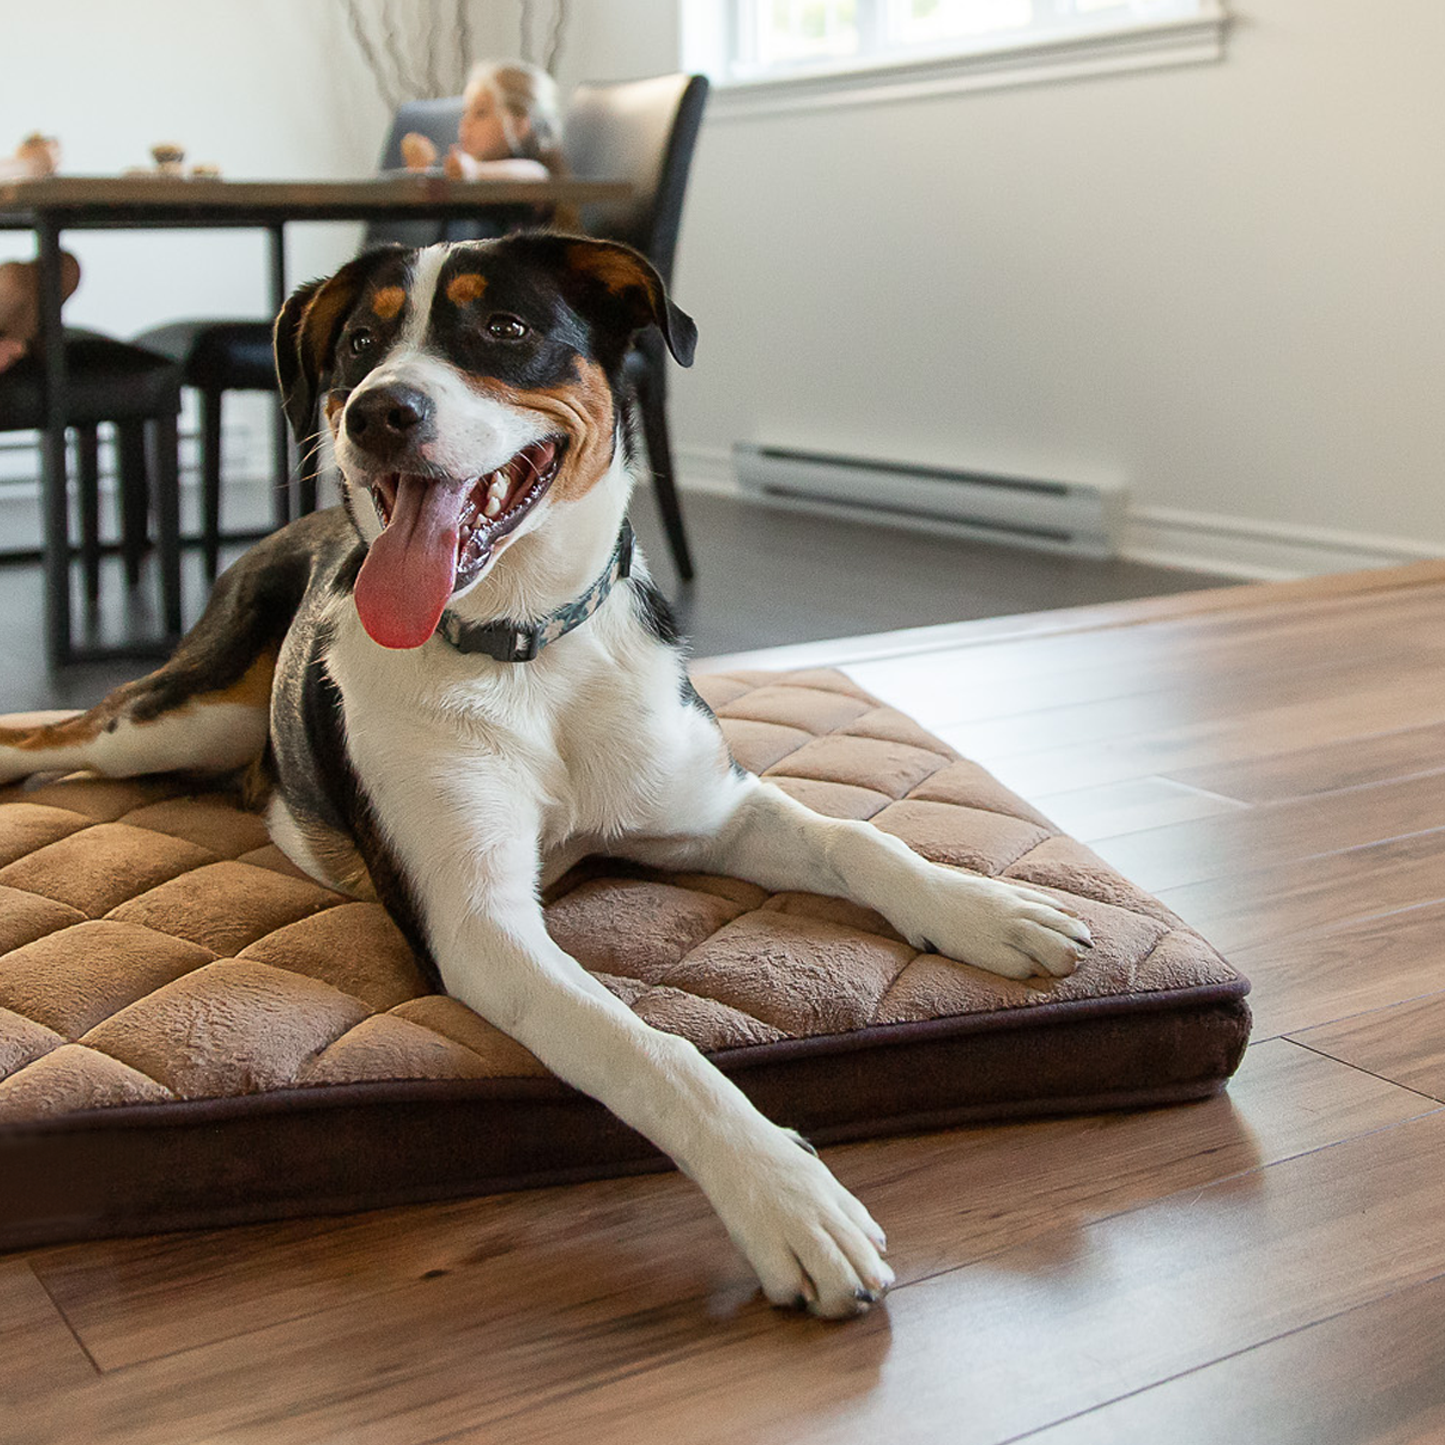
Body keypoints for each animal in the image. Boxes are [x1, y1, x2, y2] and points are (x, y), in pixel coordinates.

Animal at [0, 234, 1086, 1323]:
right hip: (173, 717)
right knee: (68, 731)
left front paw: (988, 910)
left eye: (505, 328)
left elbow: (857, 837)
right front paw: (784, 1196)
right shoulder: (478, 924)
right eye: (358, 343)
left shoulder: (710, 809)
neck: (523, 647)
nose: (377, 412)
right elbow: (650, 1048)